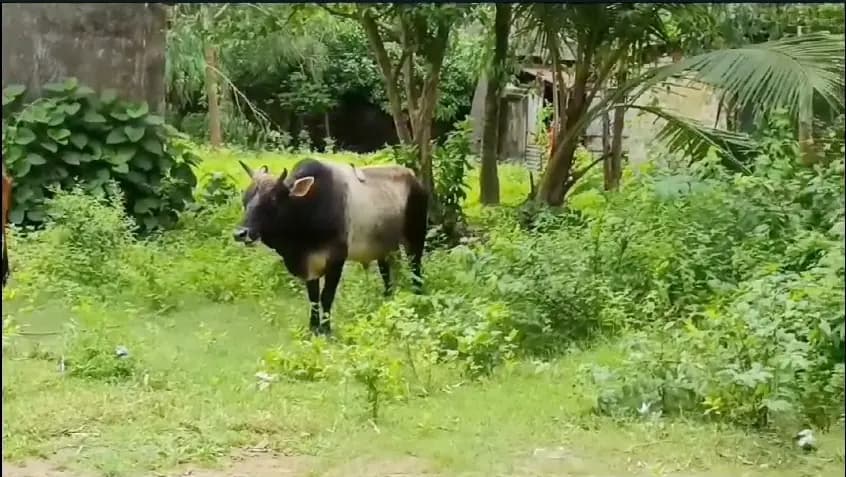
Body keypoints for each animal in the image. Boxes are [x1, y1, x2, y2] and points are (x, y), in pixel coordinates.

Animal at [233, 158, 428, 335]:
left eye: (272, 200)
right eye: (245, 199)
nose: (240, 233)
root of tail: (413, 178)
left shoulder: (336, 259)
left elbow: (326, 296)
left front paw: (326, 329)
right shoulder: (309, 264)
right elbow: (313, 297)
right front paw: (313, 327)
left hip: (415, 238)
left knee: (416, 269)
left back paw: (418, 298)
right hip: (385, 248)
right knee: (387, 274)